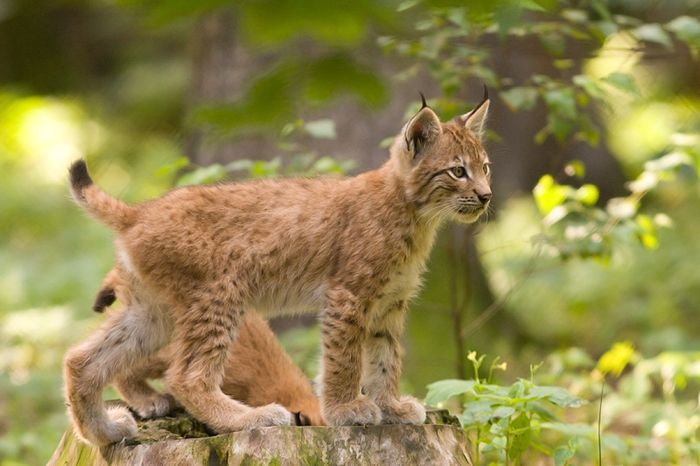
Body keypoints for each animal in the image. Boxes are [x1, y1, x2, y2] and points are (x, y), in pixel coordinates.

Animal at [64, 90, 492, 444]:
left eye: (486, 166)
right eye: (457, 171)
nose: (487, 196)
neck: (418, 215)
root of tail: (139, 211)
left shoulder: (389, 302)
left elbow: (385, 358)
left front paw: (391, 408)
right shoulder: (347, 295)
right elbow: (345, 359)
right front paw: (345, 411)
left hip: (155, 312)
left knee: (81, 359)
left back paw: (104, 431)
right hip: (220, 293)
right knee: (186, 377)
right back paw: (249, 419)